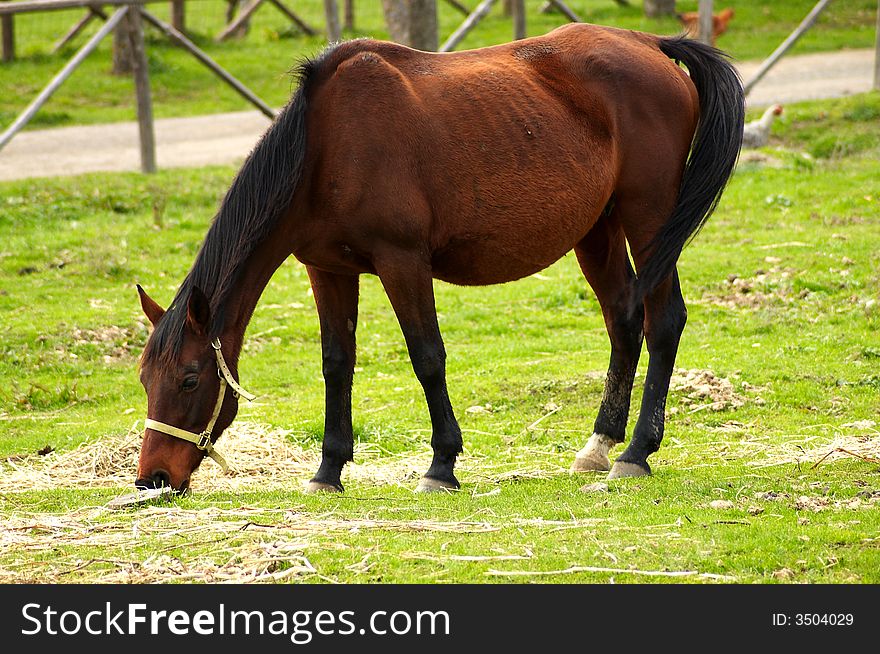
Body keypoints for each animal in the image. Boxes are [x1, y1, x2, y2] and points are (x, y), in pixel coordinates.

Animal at [136, 23, 744, 494]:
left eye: (190, 380)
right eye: (145, 380)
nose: (152, 479)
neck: (325, 147)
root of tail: (651, 44)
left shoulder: (403, 262)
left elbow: (427, 356)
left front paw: (441, 464)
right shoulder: (327, 270)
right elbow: (337, 364)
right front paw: (328, 470)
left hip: (649, 220)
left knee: (663, 321)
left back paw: (636, 452)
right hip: (598, 230)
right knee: (623, 319)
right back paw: (599, 445)